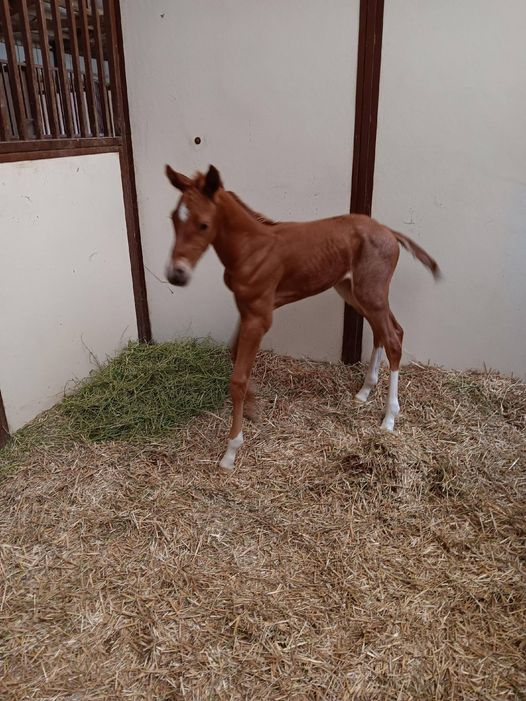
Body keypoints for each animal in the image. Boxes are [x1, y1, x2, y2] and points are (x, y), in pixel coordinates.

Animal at [164, 164, 440, 470]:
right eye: (174, 218)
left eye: (203, 224)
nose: (176, 275)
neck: (251, 248)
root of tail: (387, 230)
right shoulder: (247, 309)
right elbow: (234, 355)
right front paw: (253, 407)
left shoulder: (259, 316)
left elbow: (237, 379)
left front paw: (231, 451)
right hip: (352, 290)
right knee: (385, 330)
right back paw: (364, 392)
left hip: (371, 292)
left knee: (393, 338)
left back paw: (389, 417)